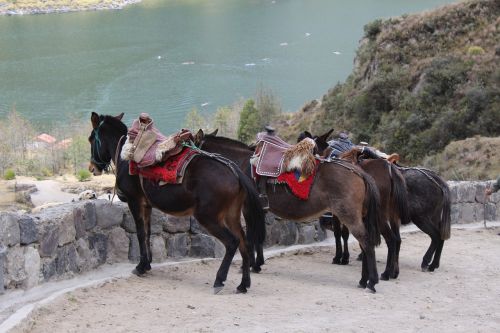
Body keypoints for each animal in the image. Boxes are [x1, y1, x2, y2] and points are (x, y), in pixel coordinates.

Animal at [87, 113, 266, 292]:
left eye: (91, 139)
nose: (91, 168)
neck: (126, 153)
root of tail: (235, 172)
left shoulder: (134, 201)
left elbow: (140, 233)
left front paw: (141, 266)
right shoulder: (147, 205)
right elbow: (148, 232)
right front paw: (148, 264)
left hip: (208, 217)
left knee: (232, 242)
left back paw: (219, 280)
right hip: (231, 215)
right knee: (244, 243)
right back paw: (243, 284)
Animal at [195, 130, 382, 290]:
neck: (243, 163)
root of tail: (359, 172)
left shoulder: (249, 209)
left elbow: (251, 237)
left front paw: (249, 266)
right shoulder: (260, 209)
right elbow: (259, 237)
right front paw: (257, 264)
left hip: (349, 215)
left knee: (366, 242)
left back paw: (371, 281)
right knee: (364, 244)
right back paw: (363, 280)